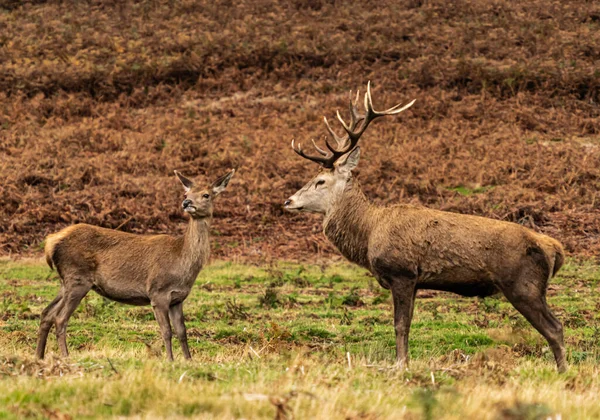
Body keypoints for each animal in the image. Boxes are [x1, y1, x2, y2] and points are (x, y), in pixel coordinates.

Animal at [37, 169, 234, 360]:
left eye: (206, 194)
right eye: (187, 192)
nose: (186, 202)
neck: (182, 261)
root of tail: (51, 242)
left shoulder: (178, 298)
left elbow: (182, 332)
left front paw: (188, 360)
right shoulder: (158, 293)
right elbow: (167, 331)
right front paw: (170, 360)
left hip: (66, 281)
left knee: (46, 313)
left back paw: (39, 356)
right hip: (78, 277)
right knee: (60, 318)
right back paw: (65, 356)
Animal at [286, 83, 568, 372]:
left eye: (320, 181)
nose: (289, 201)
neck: (368, 233)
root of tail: (555, 248)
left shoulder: (401, 272)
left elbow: (400, 325)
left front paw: (399, 366)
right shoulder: (415, 281)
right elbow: (408, 324)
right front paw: (405, 362)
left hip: (523, 285)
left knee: (555, 327)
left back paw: (562, 371)